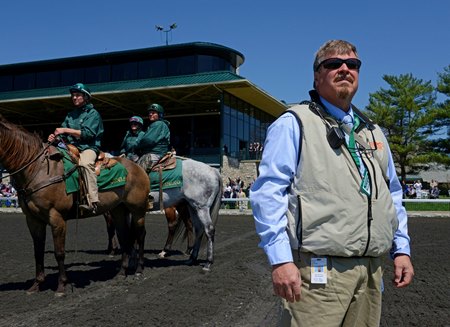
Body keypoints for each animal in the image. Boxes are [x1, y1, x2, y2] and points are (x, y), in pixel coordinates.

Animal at [0, 115, 151, 298]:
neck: (38, 169)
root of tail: (139, 167)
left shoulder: (56, 218)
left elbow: (59, 252)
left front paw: (61, 286)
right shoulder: (33, 220)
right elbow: (38, 251)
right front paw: (36, 285)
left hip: (138, 210)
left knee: (140, 235)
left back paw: (139, 270)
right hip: (118, 210)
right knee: (125, 237)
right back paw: (121, 273)